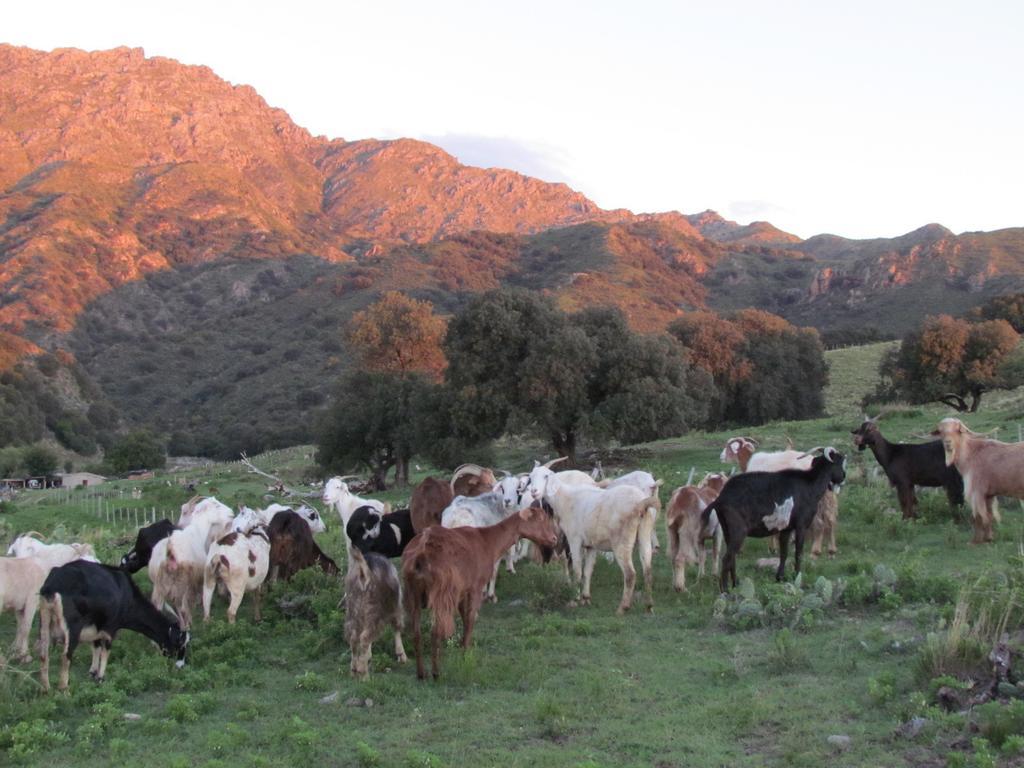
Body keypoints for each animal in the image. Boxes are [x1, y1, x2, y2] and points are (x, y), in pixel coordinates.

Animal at [346, 548, 405, 679]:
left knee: (354, 638)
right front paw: (402, 656)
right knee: (364, 638)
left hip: (353, 610)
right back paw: (364, 675)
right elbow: (397, 626)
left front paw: (368, 657)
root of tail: (363, 571)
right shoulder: (395, 606)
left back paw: (354, 670)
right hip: (374, 611)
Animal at [401, 507, 561, 684]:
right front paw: (465, 656)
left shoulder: (462, 591)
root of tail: (421, 552)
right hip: (441, 595)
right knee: (435, 631)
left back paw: (421, 673)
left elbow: (465, 619)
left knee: (416, 633)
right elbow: (470, 620)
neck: (488, 541)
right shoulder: (475, 588)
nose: (554, 539)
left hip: (411, 593)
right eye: (539, 519)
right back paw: (436, 673)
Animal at [700, 448, 843, 593]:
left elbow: (784, 553)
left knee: (732, 557)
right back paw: (725, 590)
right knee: (727, 558)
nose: (843, 477)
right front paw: (797, 577)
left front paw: (780, 577)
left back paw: (735, 584)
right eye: (840, 461)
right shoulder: (801, 525)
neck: (810, 485)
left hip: (727, 530)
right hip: (738, 530)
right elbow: (798, 553)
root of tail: (721, 499)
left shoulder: (786, 528)